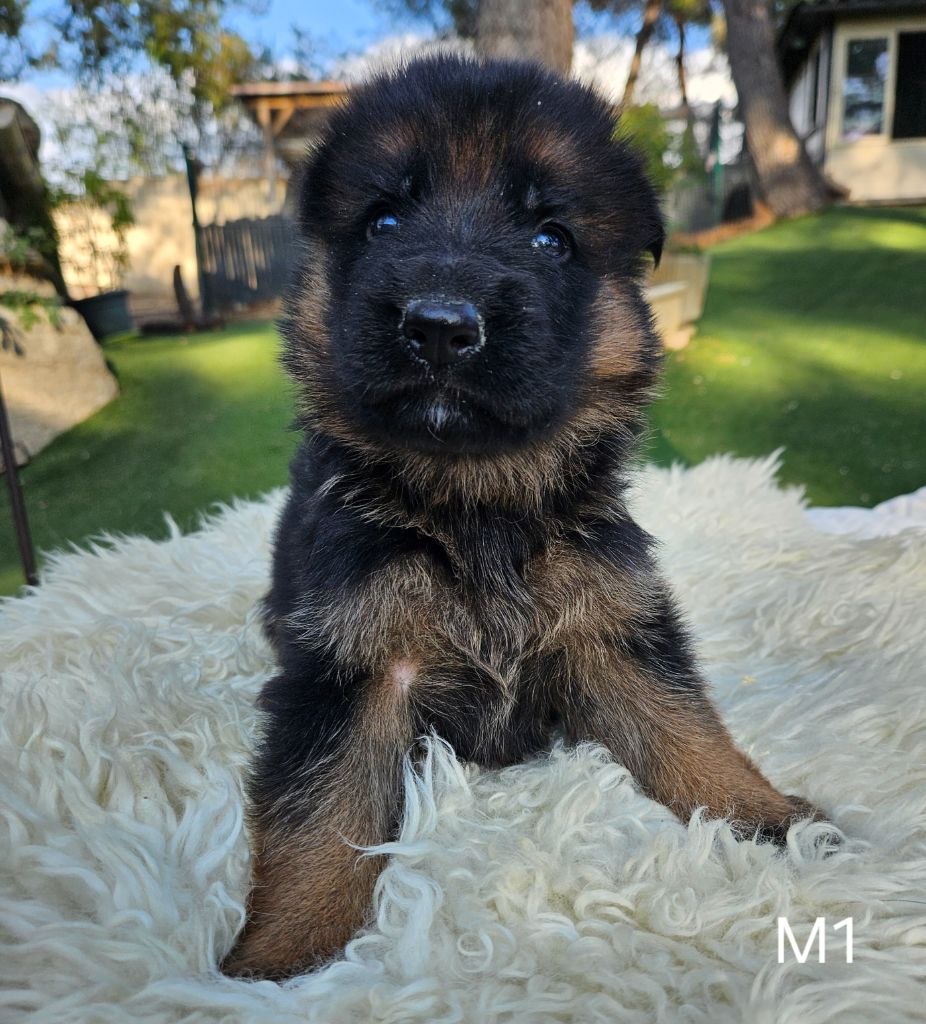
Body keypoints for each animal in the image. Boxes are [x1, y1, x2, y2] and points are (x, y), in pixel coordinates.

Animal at [220, 54, 819, 974]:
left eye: (551, 238)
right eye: (383, 221)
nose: (439, 326)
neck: (477, 503)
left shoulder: (612, 630)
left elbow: (687, 731)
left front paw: (766, 816)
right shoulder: (350, 668)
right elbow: (321, 816)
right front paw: (281, 959)